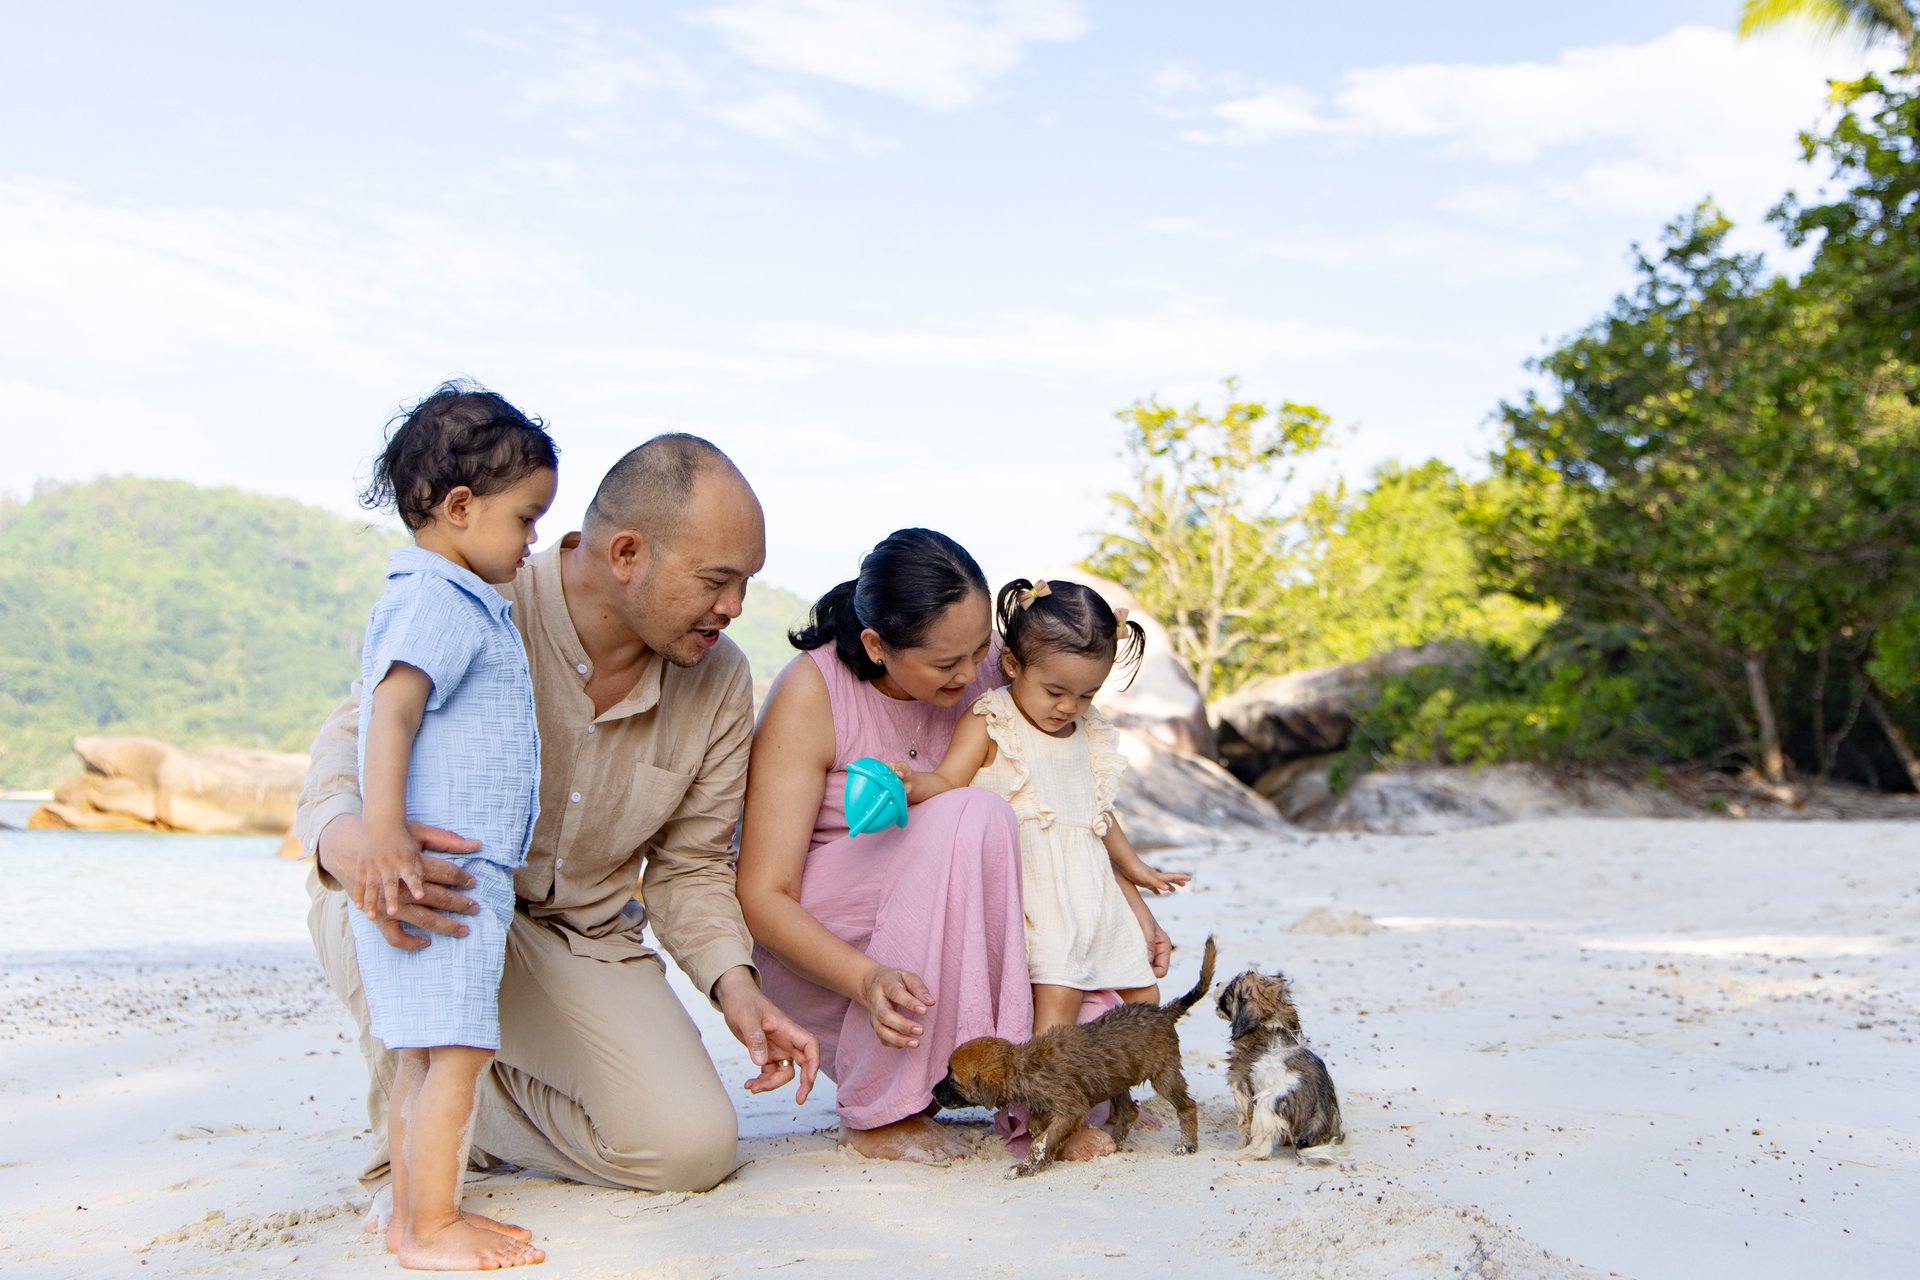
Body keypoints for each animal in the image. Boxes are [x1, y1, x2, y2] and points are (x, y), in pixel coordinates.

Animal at [933, 936, 1217, 1178]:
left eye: (953, 1078)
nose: (933, 1092)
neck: (1022, 1065)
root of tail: (1163, 1012)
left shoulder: (1071, 1108)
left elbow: (1042, 1140)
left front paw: (1026, 1166)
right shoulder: (1046, 1105)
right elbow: (1037, 1127)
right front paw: (1047, 1153)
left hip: (1163, 1075)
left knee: (1187, 1106)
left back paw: (1186, 1144)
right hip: (1117, 1080)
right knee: (1129, 1112)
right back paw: (1118, 1144)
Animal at [1215, 968, 1344, 1162]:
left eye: (1229, 989)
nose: (1216, 983)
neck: (1271, 1022)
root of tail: (1319, 1112)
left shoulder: (1240, 1087)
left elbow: (1244, 1124)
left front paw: (1239, 1146)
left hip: (1266, 1102)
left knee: (1261, 1149)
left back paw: (1235, 1155)